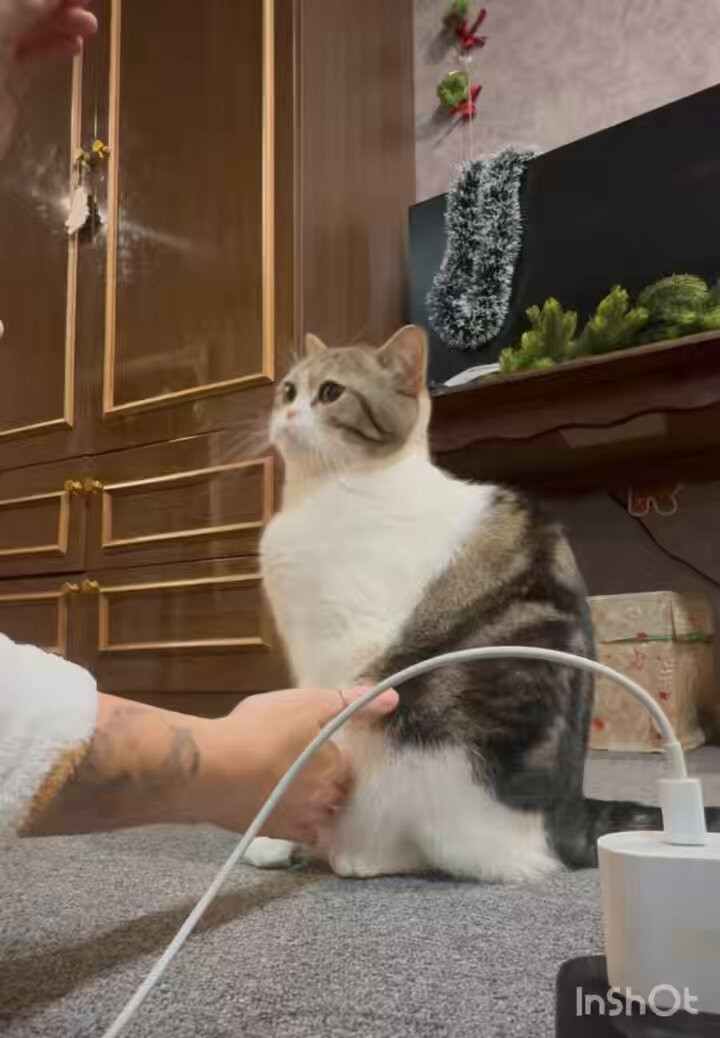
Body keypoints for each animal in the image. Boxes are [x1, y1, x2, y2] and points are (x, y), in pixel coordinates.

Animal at [247, 325, 713, 882]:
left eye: (331, 392)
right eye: (289, 390)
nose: (288, 414)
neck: (327, 489)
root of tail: (567, 819)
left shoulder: (346, 653)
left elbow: (317, 747)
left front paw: (282, 831)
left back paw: (351, 853)